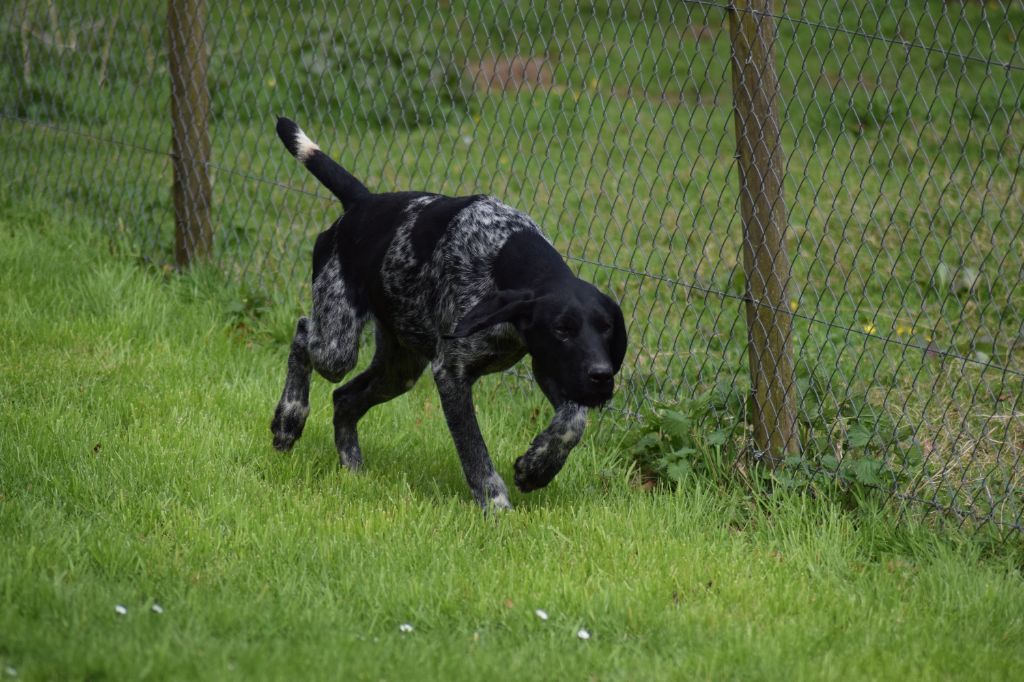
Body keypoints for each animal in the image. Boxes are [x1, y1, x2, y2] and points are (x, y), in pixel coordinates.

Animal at [270, 118, 622, 509]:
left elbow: (573, 422)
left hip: (400, 369)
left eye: (607, 328)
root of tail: (364, 201)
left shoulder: (551, 367)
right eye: (562, 329)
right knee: (304, 334)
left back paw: (352, 467)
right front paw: (496, 505)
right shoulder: (452, 373)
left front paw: (538, 466)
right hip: (337, 345)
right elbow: (474, 450)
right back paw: (289, 417)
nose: (602, 376)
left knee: (344, 399)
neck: (502, 252)